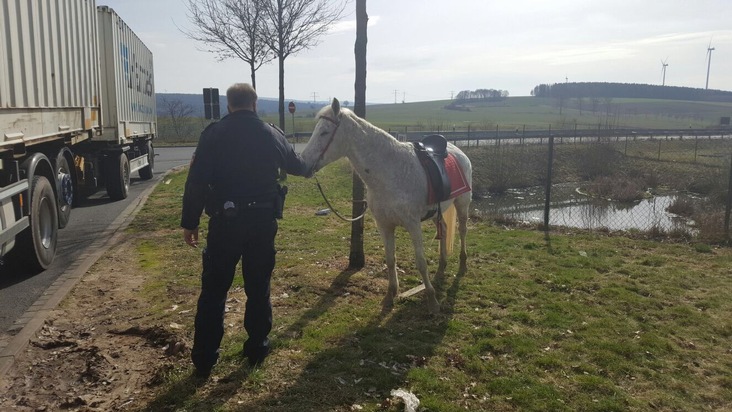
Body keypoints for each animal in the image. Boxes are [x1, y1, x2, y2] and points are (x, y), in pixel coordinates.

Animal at [298, 98, 474, 314]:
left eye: (324, 132)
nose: (304, 164)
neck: (390, 172)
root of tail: (458, 151)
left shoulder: (413, 224)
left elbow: (421, 263)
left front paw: (432, 301)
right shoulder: (384, 225)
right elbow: (390, 260)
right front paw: (390, 296)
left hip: (462, 203)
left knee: (463, 229)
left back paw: (463, 263)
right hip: (436, 213)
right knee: (446, 228)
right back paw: (442, 265)